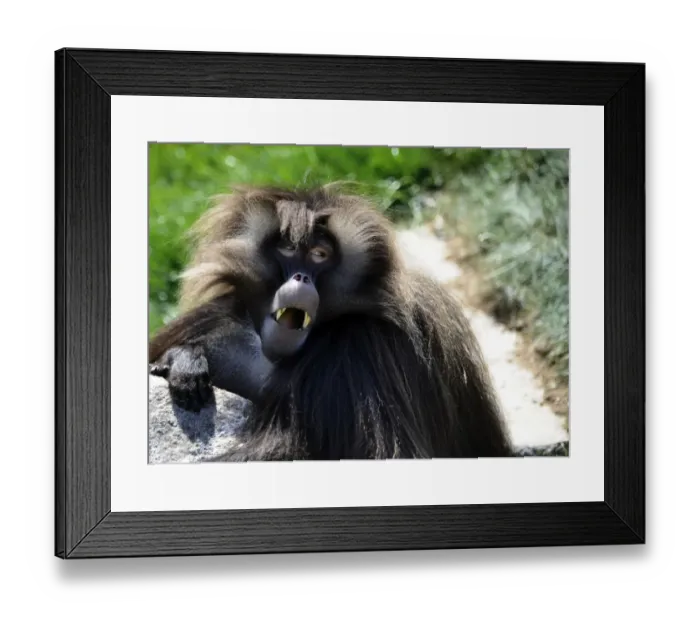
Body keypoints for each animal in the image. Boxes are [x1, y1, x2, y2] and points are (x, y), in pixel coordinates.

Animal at [148, 184, 517, 461]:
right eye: (287, 248)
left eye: (319, 255)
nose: (301, 277)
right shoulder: (221, 320)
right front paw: (184, 362)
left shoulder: (365, 347)